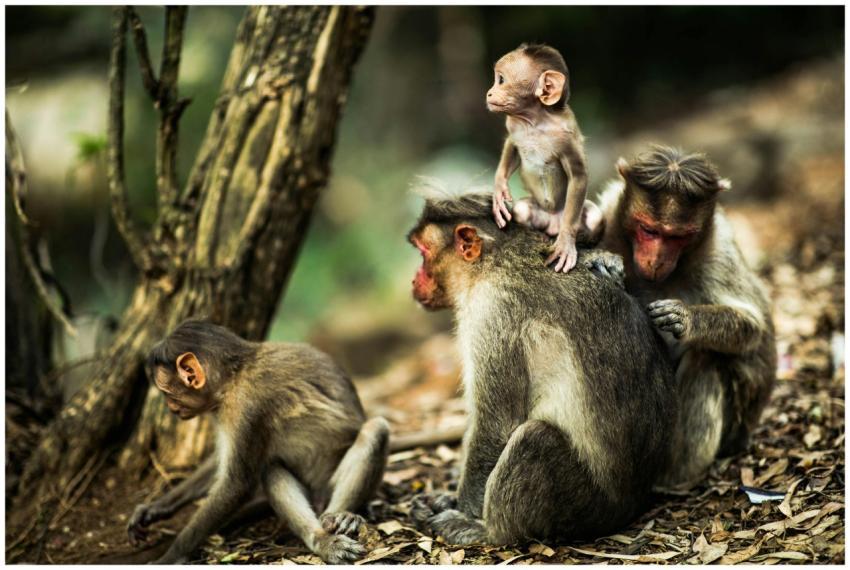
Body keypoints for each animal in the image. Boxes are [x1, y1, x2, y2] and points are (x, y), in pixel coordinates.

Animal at [126, 319, 390, 564]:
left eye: (167, 393)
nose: (171, 408)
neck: (234, 375)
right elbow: (221, 464)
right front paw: (156, 508)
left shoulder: (246, 407)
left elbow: (235, 485)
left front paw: (171, 556)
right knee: (270, 468)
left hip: (327, 486)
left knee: (376, 429)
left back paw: (334, 526)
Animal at [405, 186, 678, 545]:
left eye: (423, 253)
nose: (413, 281)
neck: (495, 262)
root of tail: (632, 504)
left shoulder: (492, 313)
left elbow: (496, 423)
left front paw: (464, 511)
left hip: (587, 506)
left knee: (535, 438)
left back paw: (491, 532)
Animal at [487, 43, 602, 273]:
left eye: (501, 80)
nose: (489, 93)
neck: (535, 122)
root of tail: (553, 222)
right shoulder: (513, 125)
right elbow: (512, 145)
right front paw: (499, 190)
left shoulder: (565, 136)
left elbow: (578, 175)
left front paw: (566, 242)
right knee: (521, 210)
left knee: (594, 218)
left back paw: (580, 239)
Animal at [589, 145, 776, 485]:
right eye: (648, 230)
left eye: (677, 237)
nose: (656, 260)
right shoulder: (608, 213)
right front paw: (604, 260)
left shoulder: (719, 251)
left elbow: (752, 327)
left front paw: (685, 319)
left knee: (706, 358)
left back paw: (675, 478)